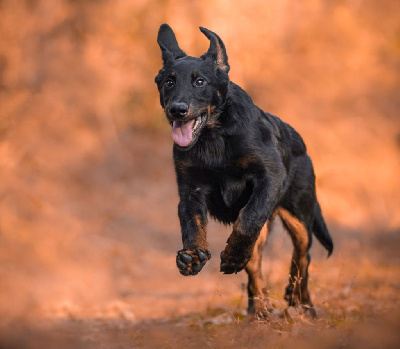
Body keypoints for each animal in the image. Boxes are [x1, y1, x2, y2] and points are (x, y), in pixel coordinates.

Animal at [155, 23, 332, 316]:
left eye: (199, 82)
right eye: (169, 81)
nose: (177, 110)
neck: (213, 137)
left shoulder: (269, 176)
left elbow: (249, 218)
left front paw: (233, 256)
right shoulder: (190, 189)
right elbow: (192, 222)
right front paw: (192, 257)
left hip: (300, 214)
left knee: (302, 256)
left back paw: (301, 302)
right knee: (256, 266)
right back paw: (258, 308)